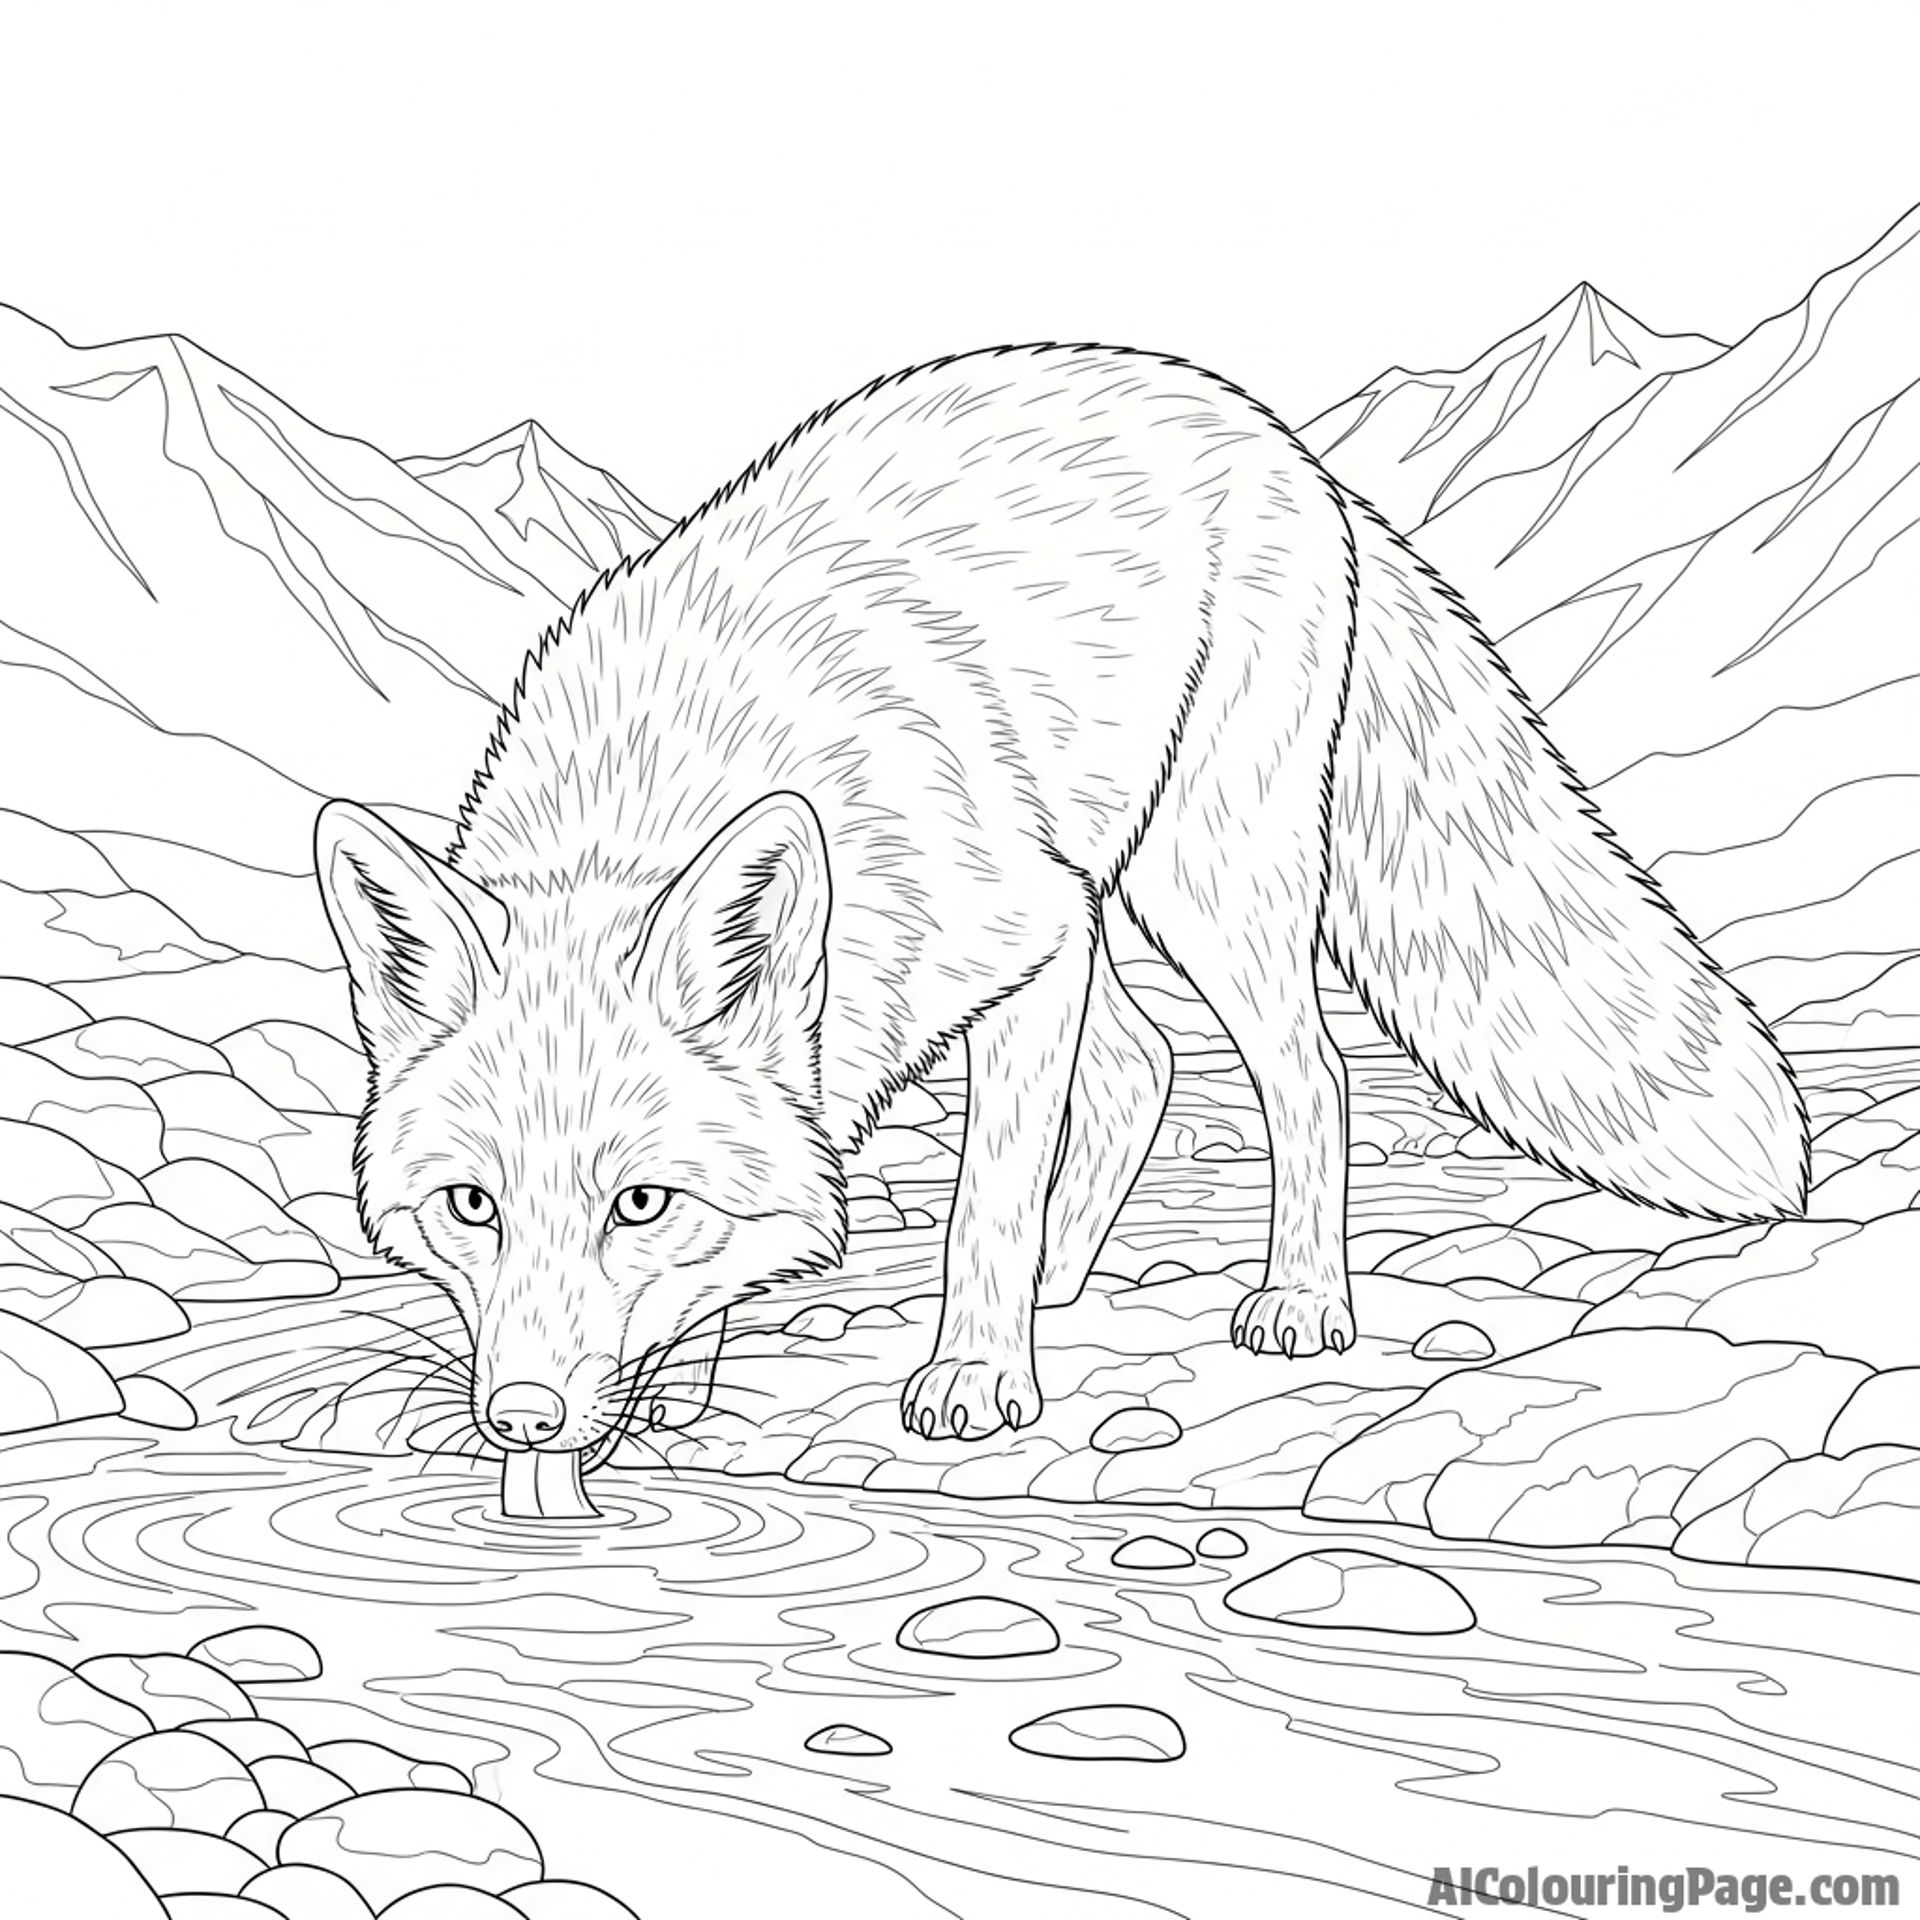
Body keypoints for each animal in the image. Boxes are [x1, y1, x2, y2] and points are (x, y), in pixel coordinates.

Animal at [315, 342, 1809, 1461]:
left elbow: (984, 1194)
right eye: (469, 1207)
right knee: (1148, 1064)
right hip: (1122, 895)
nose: (522, 1422)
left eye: (638, 1202)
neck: (659, 779)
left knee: (1307, 1073)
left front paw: (978, 1375)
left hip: (1206, 875)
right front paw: (681, 1379)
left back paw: (1296, 1297)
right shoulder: (1022, 949)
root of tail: (1279, 438)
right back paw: (1068, 1276)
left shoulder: (1021, 948)